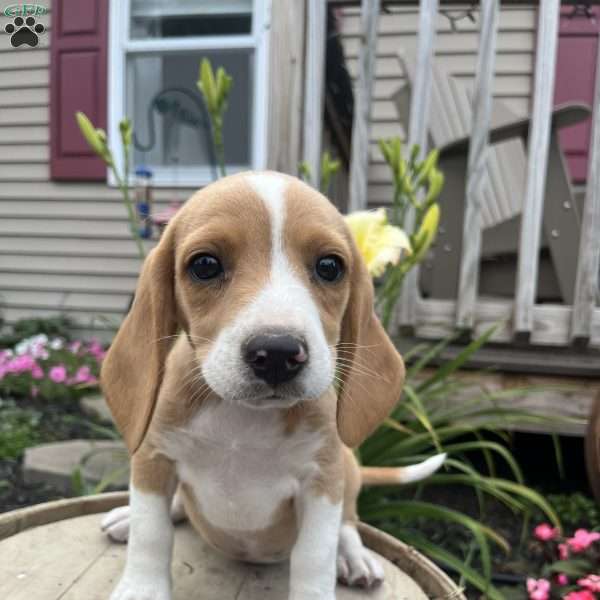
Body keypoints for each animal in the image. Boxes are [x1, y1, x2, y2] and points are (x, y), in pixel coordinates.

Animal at [101, 170, 442, 600]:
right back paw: (129, 517)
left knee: (348, 522)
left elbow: (315, 556)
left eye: (329, 266)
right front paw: (141, 586)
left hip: (346, 469)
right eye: (205, 265)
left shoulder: (322, 480)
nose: (279, 353)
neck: (241, 420)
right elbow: (152, 533)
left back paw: (353, 556)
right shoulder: (153, 458)